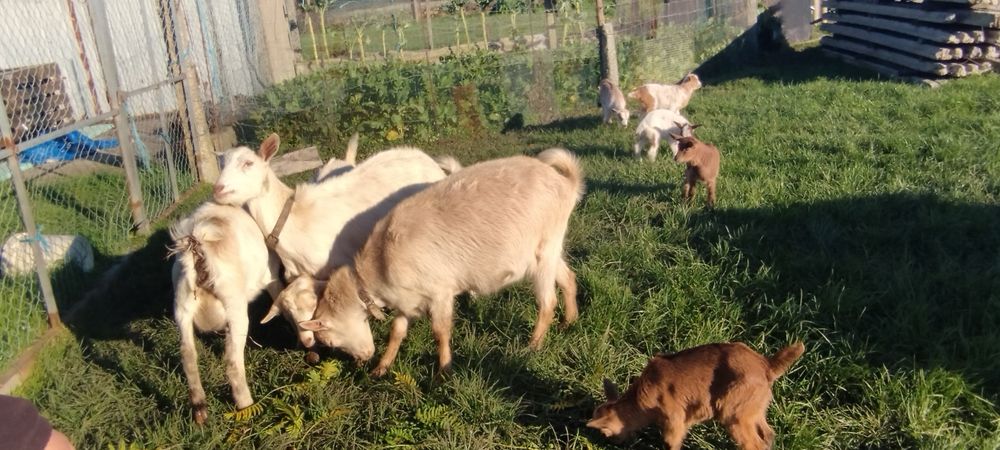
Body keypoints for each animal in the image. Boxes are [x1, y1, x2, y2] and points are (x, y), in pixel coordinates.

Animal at [169, 202, 283, 425]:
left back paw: (200, 410)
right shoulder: (271, 276)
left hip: (181, 305)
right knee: (232, 362)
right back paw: (247, 405)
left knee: (187, 354)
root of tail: (196, 248)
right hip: (235, 307)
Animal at [299, 148, 584, 377]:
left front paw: (444, 371)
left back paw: (533, 346)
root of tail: (566, 183)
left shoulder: (440, 292)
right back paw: (569, 321)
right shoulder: (407, 300)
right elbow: (397, 330)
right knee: (567, 277)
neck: (380, 262)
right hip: (545, 251)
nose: (362, 359)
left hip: (544, 253)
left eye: (330, 341)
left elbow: (440, 331)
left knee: (547, 302)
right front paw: (381, 367)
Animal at [587, 342, 805, 450]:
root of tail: (766, 365)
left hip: (734, 413)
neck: (640, 400)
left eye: (605, 432)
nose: (614, 444)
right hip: (753, 409)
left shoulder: (674, 419)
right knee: (768, 435)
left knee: (754, 444)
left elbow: (671, 443)